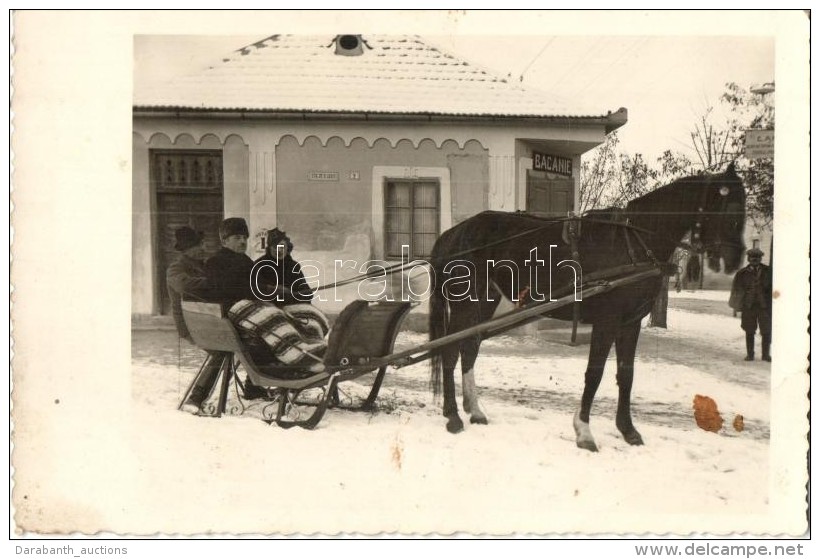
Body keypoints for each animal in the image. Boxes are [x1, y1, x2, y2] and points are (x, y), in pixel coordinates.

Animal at [426, 163, 748, 450]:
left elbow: (626, 375)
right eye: (725, 207)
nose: (735, 260)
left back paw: (474, 410)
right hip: (465, 306)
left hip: (484, 303)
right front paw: (584, 432)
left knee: (469, 348)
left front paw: (628, 430)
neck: (634, 242)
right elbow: (595, 373)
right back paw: (453, 416)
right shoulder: (607, 322)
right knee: (450, 351)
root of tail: (453, 234)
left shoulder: (630, 323)